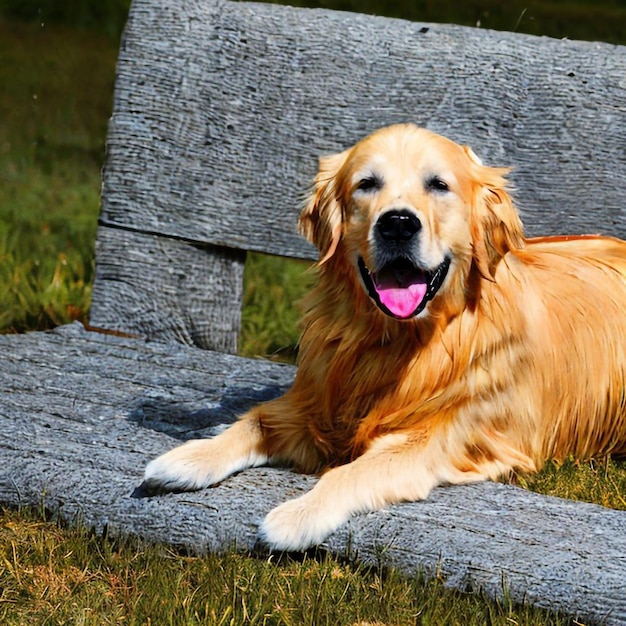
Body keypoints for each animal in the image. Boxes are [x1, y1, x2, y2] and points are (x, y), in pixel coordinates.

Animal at [141, 124, 624, 548]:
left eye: (439, 185)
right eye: (367, 184)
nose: (398, 224)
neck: (395, 341)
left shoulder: (443, 436)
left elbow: (352, 470)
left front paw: (297, 516)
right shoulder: (316, 401)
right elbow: (255, 419)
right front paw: (190, 457)